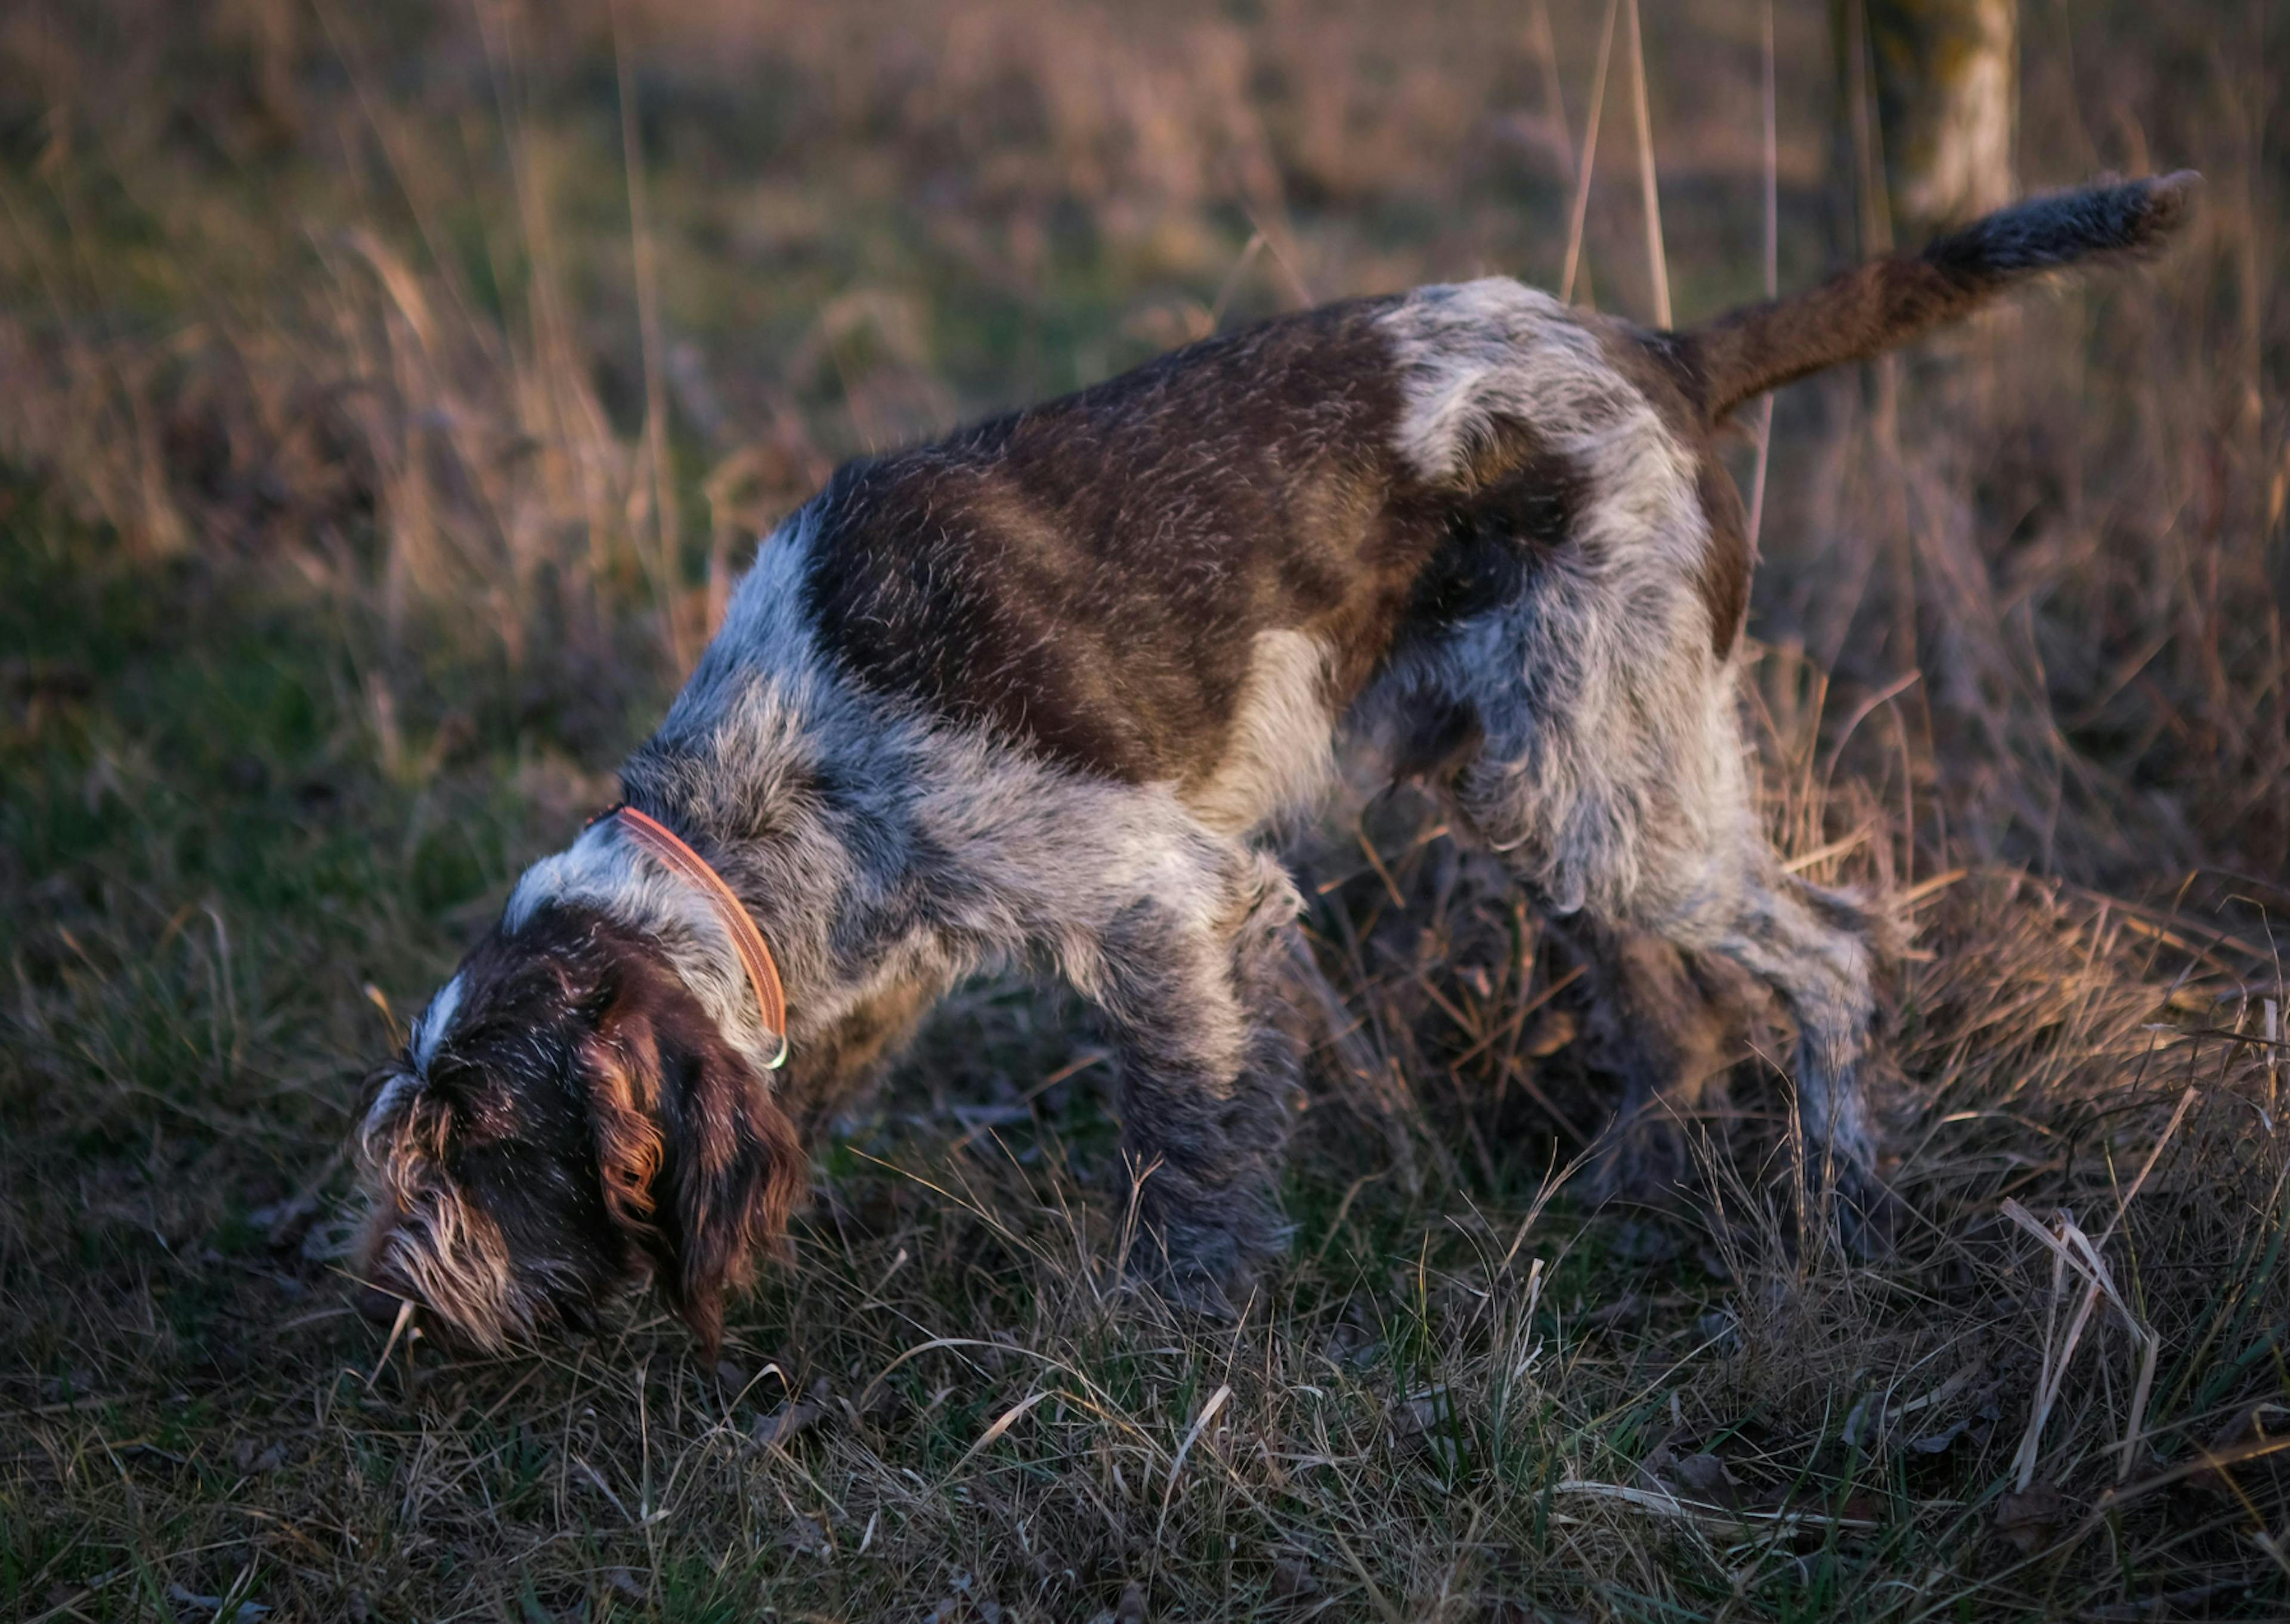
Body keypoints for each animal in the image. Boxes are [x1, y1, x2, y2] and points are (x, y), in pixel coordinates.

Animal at [357, 171, 2198, 1347]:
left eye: (487, 1139)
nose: (386, 1290)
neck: (782, 756)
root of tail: (1660, 355)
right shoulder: (894, 945)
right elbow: (821, 1075)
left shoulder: (1178, 909)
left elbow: (1196, 1133)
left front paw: (1178, 1317)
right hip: (1546, 777)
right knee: (1672, 1016)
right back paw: (1632, 1192)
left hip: (1613, 794)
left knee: (1831, 951)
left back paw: (1843, 1199)